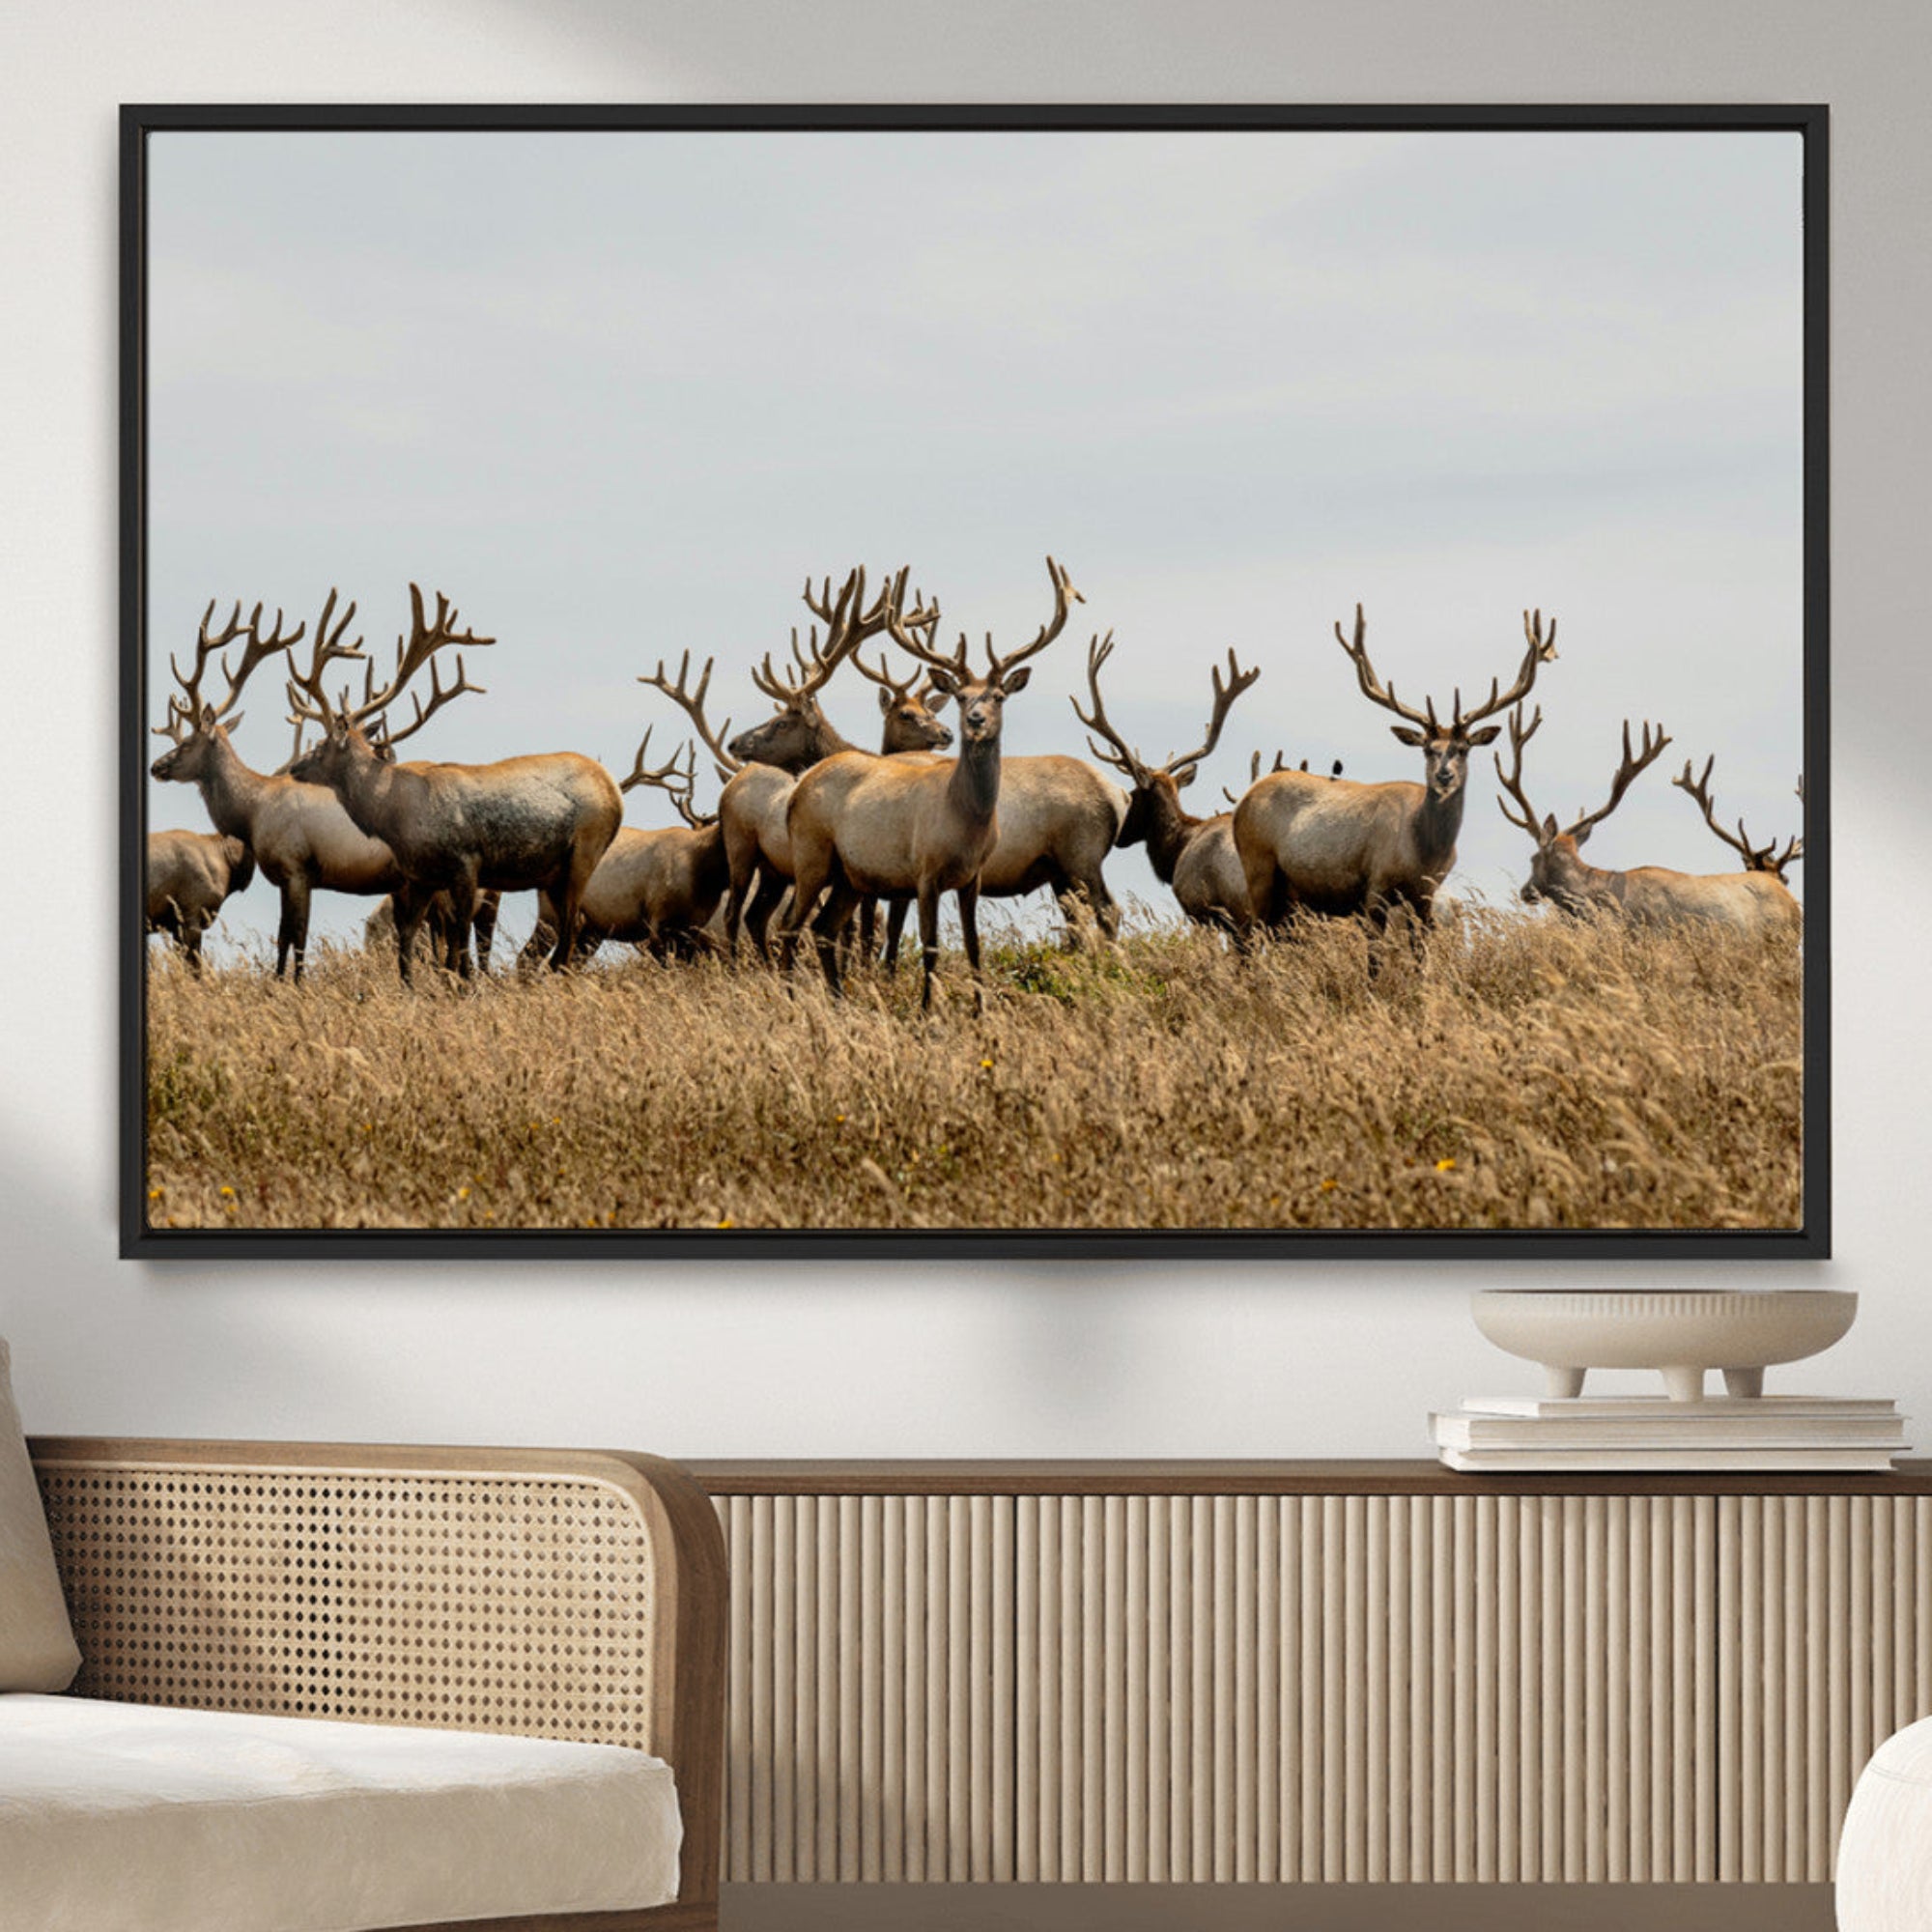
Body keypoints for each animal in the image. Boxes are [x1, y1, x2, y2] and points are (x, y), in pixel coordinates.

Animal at [286, 583, 622, 983]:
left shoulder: (465, 862)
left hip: (584, 851)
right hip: (553, 873)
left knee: (569, 934)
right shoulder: (421, 877)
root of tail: (614, 790)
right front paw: (412, 988)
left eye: (321, 746)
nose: (294, 767)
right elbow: (408, 943)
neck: (396, 815)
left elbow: (459, 945)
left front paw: (463, 987)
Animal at [779, 555, 1082, 1009]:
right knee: (790, 926)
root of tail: (797, 788)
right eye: (961, 696)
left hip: (850, 874)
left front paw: (979, 1012)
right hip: (811, 853)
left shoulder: (972, 876)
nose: (974, 720)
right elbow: (931, 945)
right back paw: (790, 999)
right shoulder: (924, 871)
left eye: (998, 696)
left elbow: (974, 946)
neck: (965, 822)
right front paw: (927, 1011)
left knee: (823, 929)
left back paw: (837, 1000)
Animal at [1234, 604, 1559, 951]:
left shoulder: (1425, 896)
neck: (1424, 853)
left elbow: (1420, 953)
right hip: (1258, 868)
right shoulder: (1375, 886)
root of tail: (1244, 800)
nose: (1444, 775)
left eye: (1463, 749)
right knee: (1249, 938)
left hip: (1291, 895)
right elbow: (1375, 954)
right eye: (1428, 750)